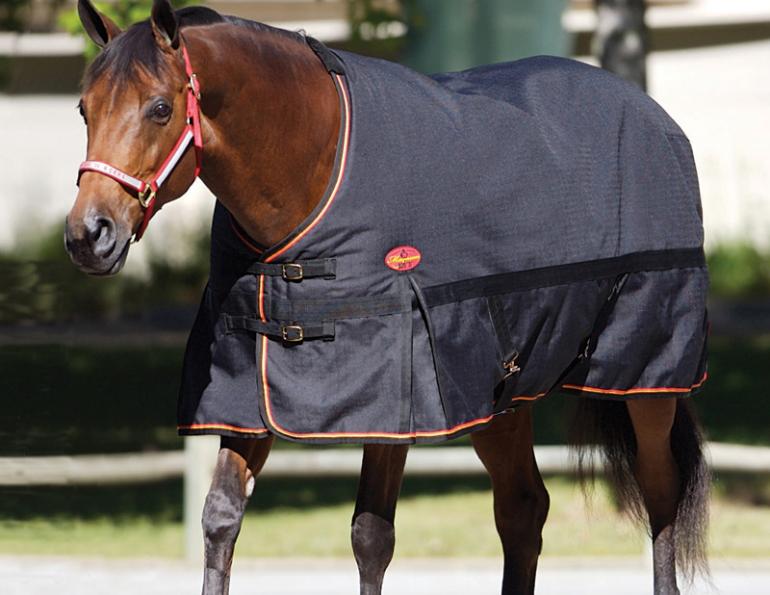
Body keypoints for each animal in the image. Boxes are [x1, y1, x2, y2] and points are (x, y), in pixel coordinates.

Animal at [65, 1, 710, 594]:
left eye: (160, 108)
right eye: (84, 109)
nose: (88, 235)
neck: (315, 164)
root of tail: (654, 114)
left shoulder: (391, 390)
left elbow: (370, 536)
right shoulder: (249, 386)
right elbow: (221, 518)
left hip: (647, 378)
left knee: (660, 492)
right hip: (502, 391)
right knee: (523, 509)